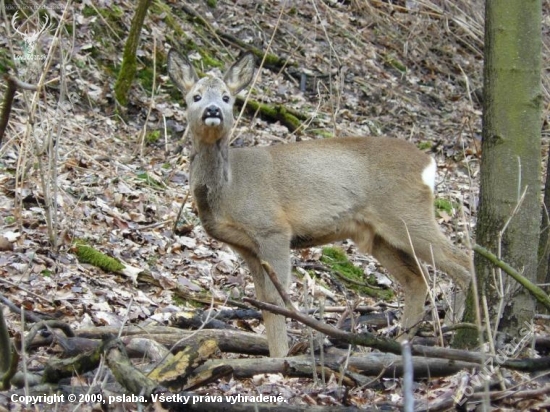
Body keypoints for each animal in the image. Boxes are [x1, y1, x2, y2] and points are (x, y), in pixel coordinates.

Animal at [168, 49, 474, 358]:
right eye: (195, 96)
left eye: (227, 97)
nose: (213, 111)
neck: (230, 189)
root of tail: (428, 163)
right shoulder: (246, 247)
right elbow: (264, 300)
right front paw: (276, 354)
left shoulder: (273, 228)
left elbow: (277, 298)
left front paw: (281, 358)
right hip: (378, 236)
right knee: (417, 281)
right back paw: (402, 344)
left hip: (406, 212)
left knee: (463, 261)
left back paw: (468, 330)